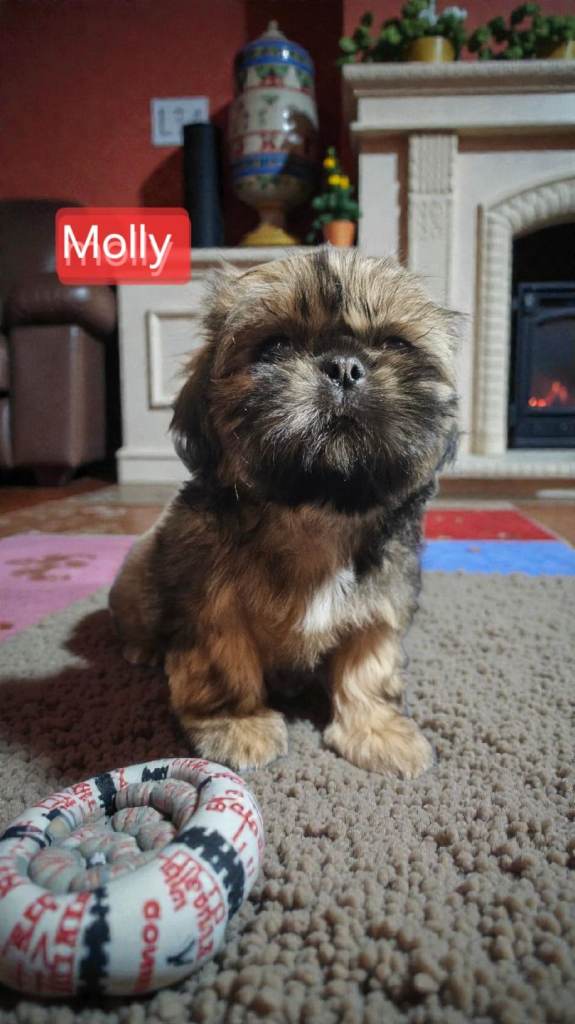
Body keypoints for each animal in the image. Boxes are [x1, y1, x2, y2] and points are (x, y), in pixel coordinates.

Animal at [110, 248, 459, 776]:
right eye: (274, 345)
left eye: (395, 343)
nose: (344, 367)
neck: (316, 514)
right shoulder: (211, 604)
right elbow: (224, 662)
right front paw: (238, 725)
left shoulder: (380, 600)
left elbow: (369, 664)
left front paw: (376, 730)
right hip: (137, 573)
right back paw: (141, 647)